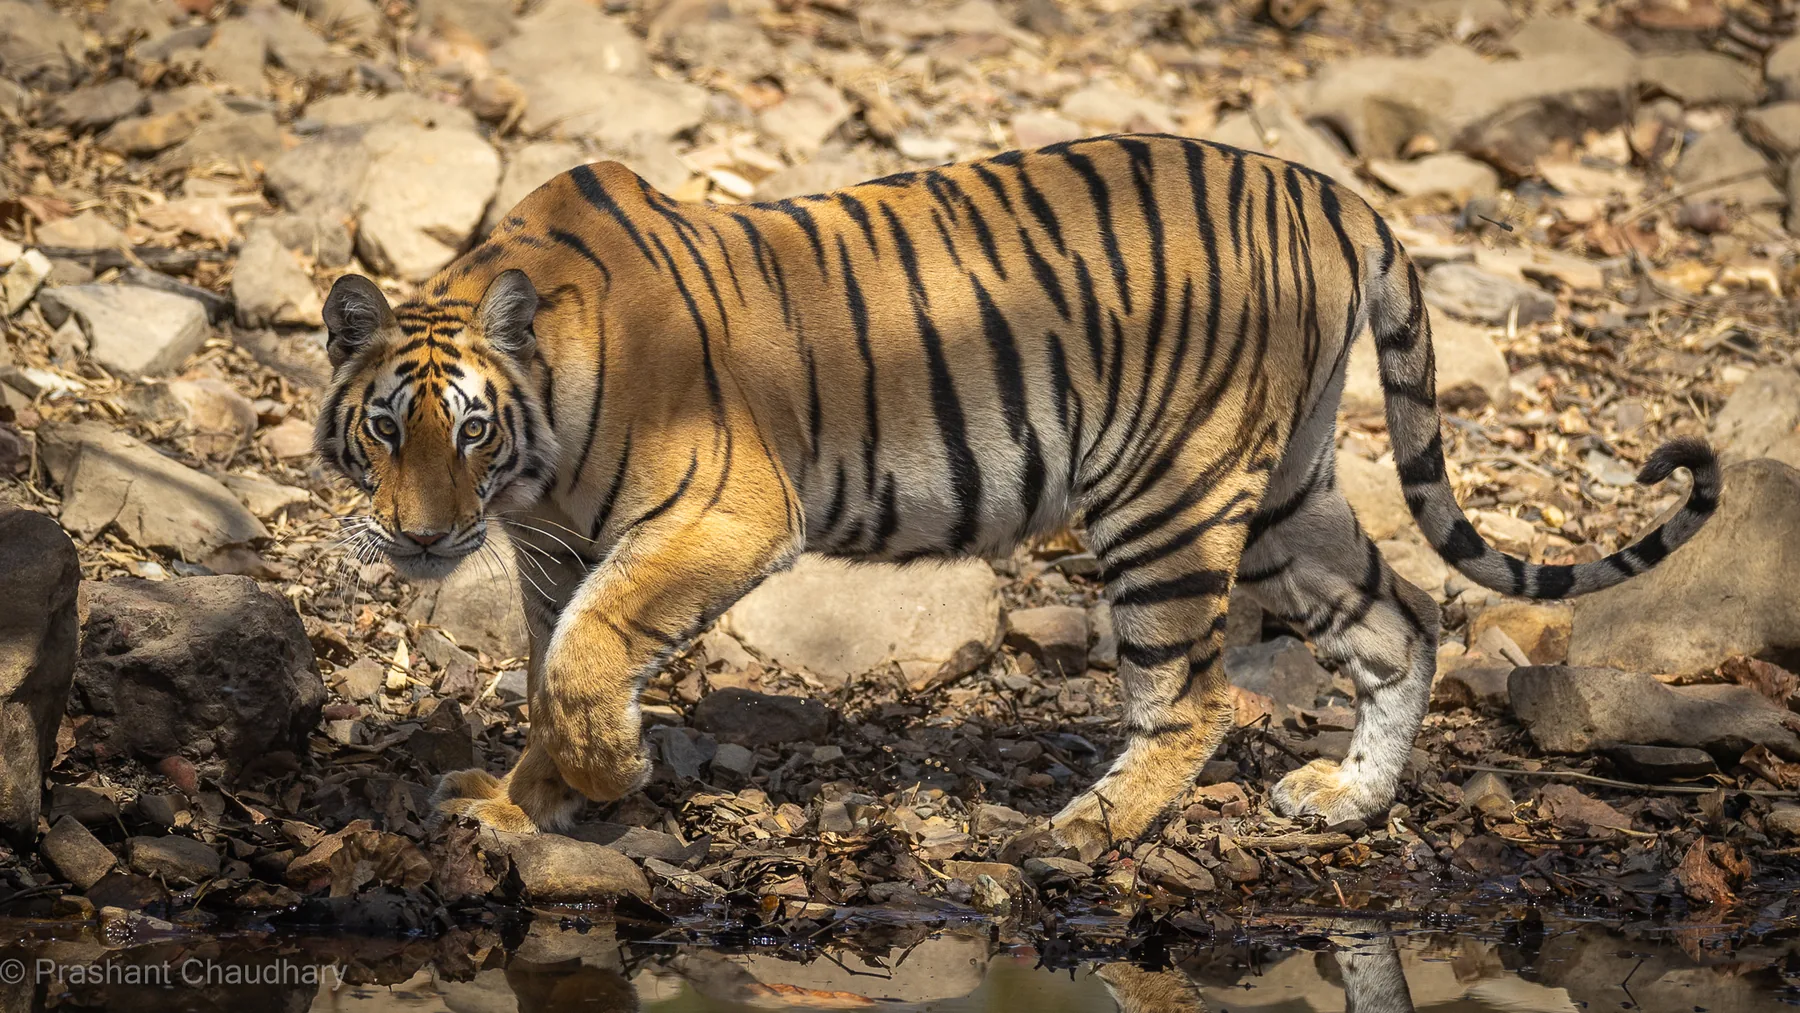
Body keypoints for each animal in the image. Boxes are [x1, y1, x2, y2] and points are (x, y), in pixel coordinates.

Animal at [313, 133, 1719, 858]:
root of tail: (1328, 186)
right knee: (1401, 621)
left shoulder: (729, 513)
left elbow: (586, 657)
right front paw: (519, 803)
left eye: (470, 429)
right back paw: (1343, 798)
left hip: (1169, 497)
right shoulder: (556, 550)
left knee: (1195, 695)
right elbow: (553, 666)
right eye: (384, 431)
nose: (423, 536)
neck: (534, 464)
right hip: (1286, 492)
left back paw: (1078, 833)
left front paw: (607, 775)